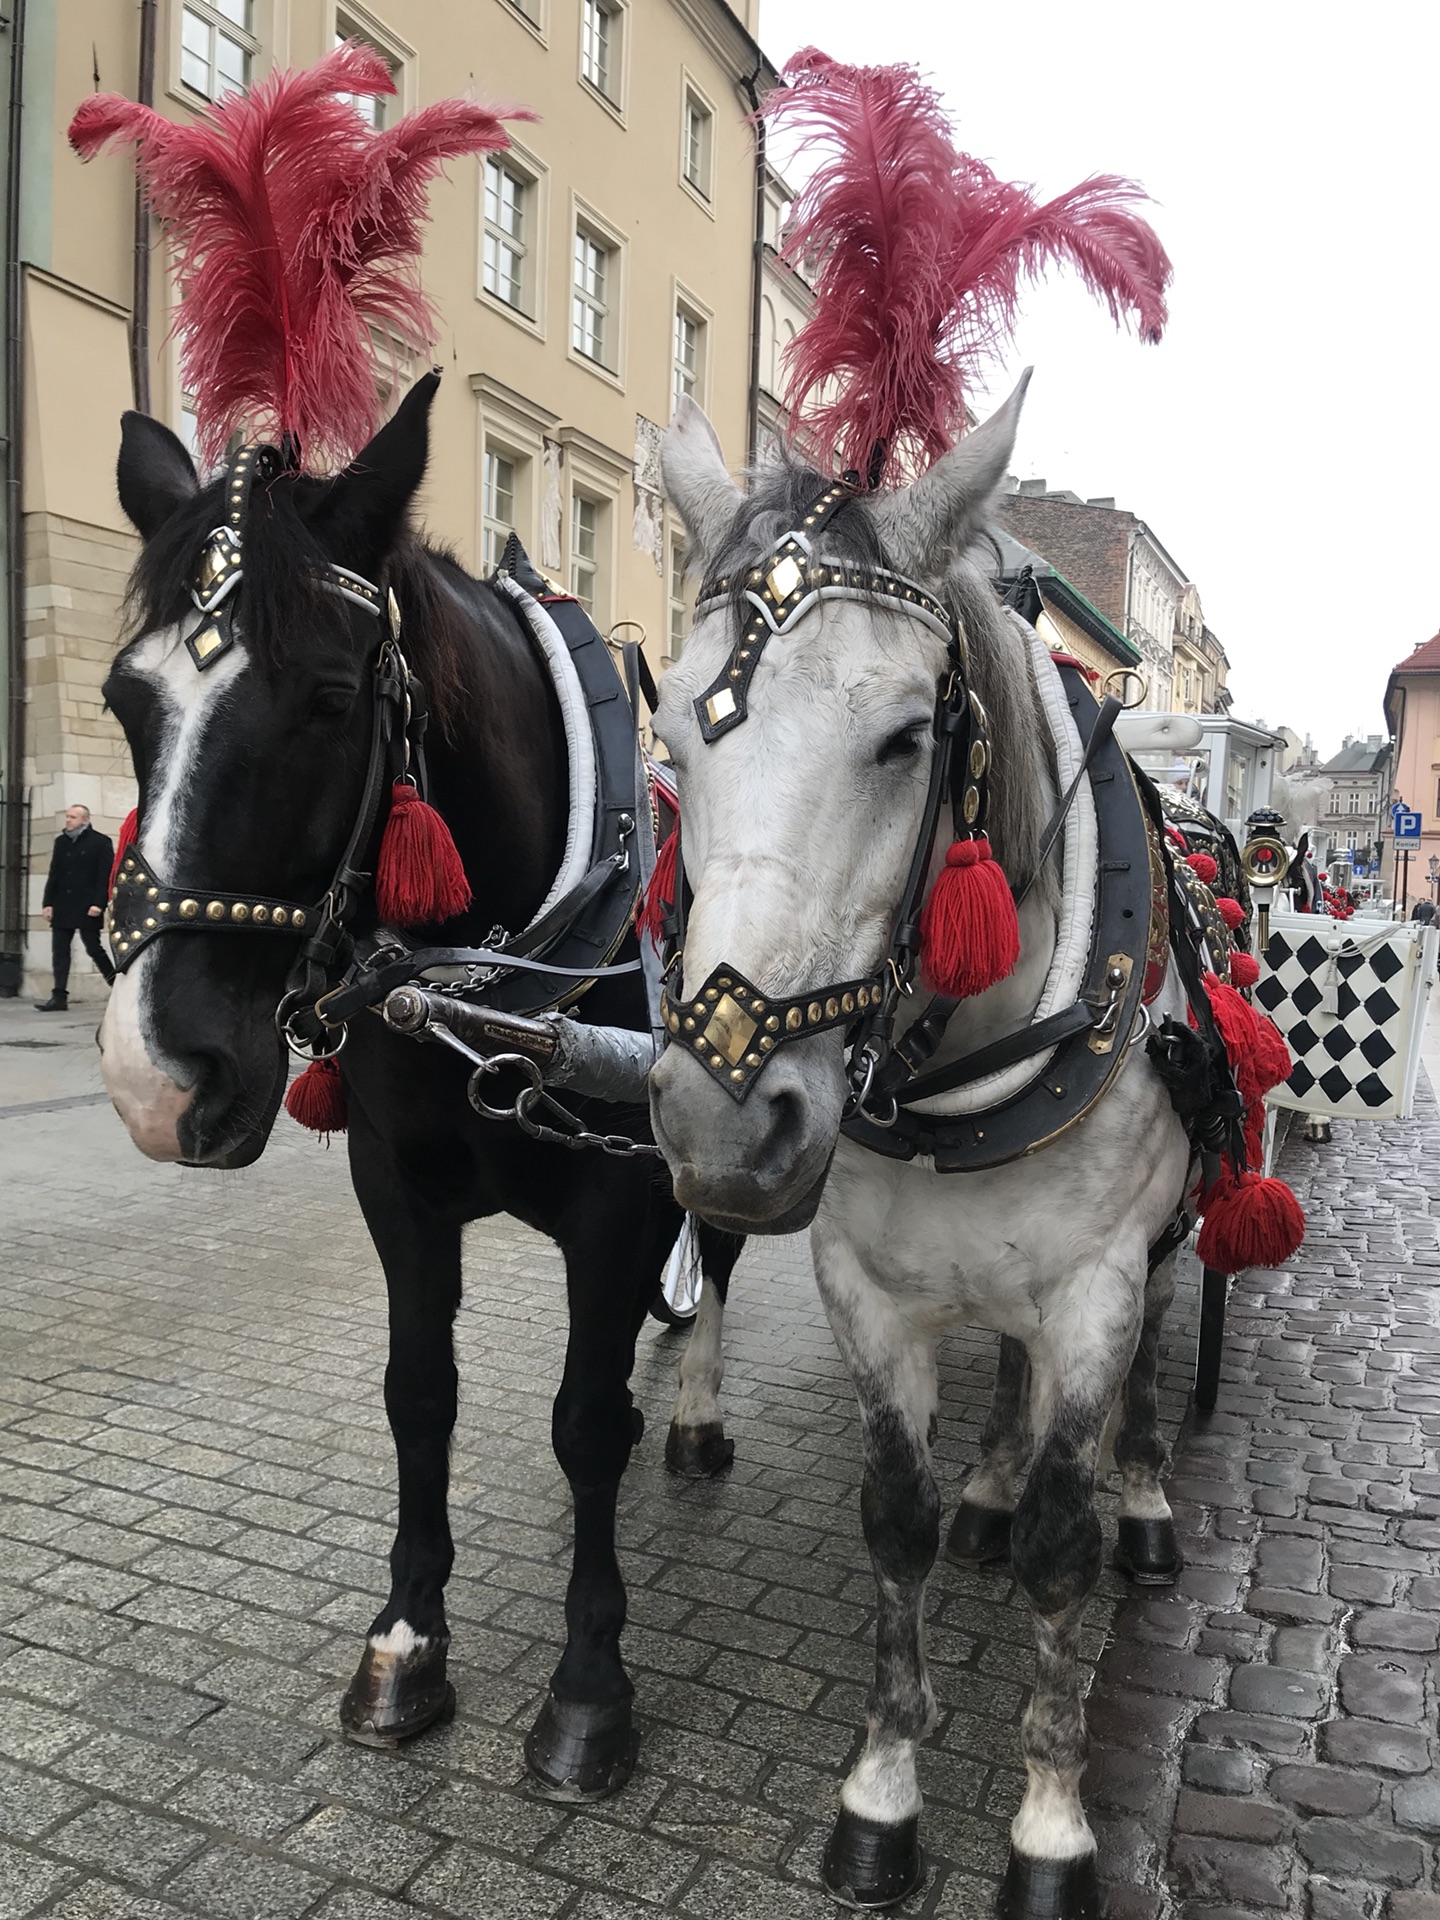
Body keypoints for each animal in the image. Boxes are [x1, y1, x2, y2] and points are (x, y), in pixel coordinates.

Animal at [98, 366, 744, 1789]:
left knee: (721, 1263)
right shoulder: (399, 1193)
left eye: (334, 699)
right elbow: (418, 1397)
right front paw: (405, 1639)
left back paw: (696, 1414)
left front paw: (586, 1686)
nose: (154, 1078)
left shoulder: (619, 1206)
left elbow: (585, 1420)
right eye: (123, 701)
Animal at [652, 378, 1198, 1920]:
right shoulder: (871, 1291)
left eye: (904, 737)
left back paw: (1139, 1495)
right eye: (672, 744)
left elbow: (1066, 1559)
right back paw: (992, 1485)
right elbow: (892, 1517)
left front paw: (1052, 1826)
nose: (722, 1123)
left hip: (1166, 1246)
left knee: (1149, 1375)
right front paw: (882, 1792)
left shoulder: (1094, 1289)